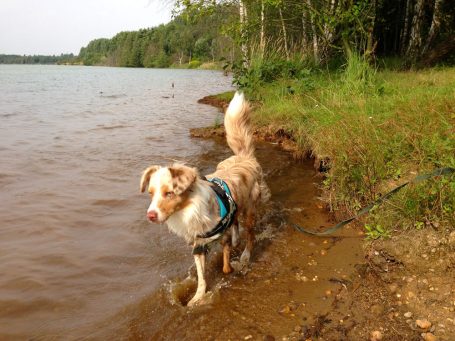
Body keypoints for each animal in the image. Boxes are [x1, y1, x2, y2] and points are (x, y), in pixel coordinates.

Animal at [141, 91, 268, 306]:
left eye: (169, 193)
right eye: (151, 193)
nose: (150, 215)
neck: (189, 210)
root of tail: (244, 158)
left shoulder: (221, 234)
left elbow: (225, 262)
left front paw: (229, 269)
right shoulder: (198, 244)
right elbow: (200, 276)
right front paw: (197, 298)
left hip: (251, 209)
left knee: (250, 235)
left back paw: (244, 255)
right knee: (236, 222)